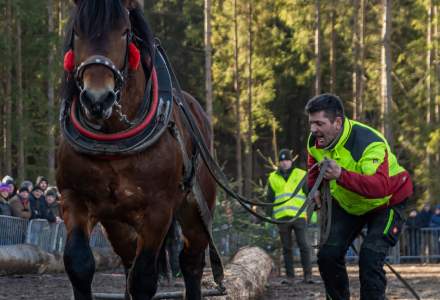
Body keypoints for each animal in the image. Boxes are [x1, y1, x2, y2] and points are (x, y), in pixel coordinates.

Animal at [56, 1, 217, 298]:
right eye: (78, 31)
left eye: (124, 31)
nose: (97, 99)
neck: (114, 137)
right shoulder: (73, 197)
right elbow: (79, 262)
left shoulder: (158, 209)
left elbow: (144, 278)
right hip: (117, 222)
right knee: (128, 261)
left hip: (195, 209)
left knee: (191, 262)